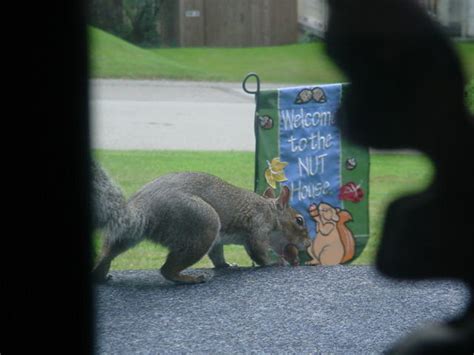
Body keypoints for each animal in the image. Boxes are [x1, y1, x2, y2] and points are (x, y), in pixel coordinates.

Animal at [92, 161, 312, 286]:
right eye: (299, 220)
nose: (309, 244)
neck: (270, 212)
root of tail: (144, 210)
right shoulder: (258, 227)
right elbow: (258, 253)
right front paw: (275, 262)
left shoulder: (218, 242)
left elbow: (217, 255)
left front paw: (226, 265)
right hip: (203, 225)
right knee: (167, 270)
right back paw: (191, 279)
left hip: (127, 236)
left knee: (108, 252)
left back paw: (101, 275)